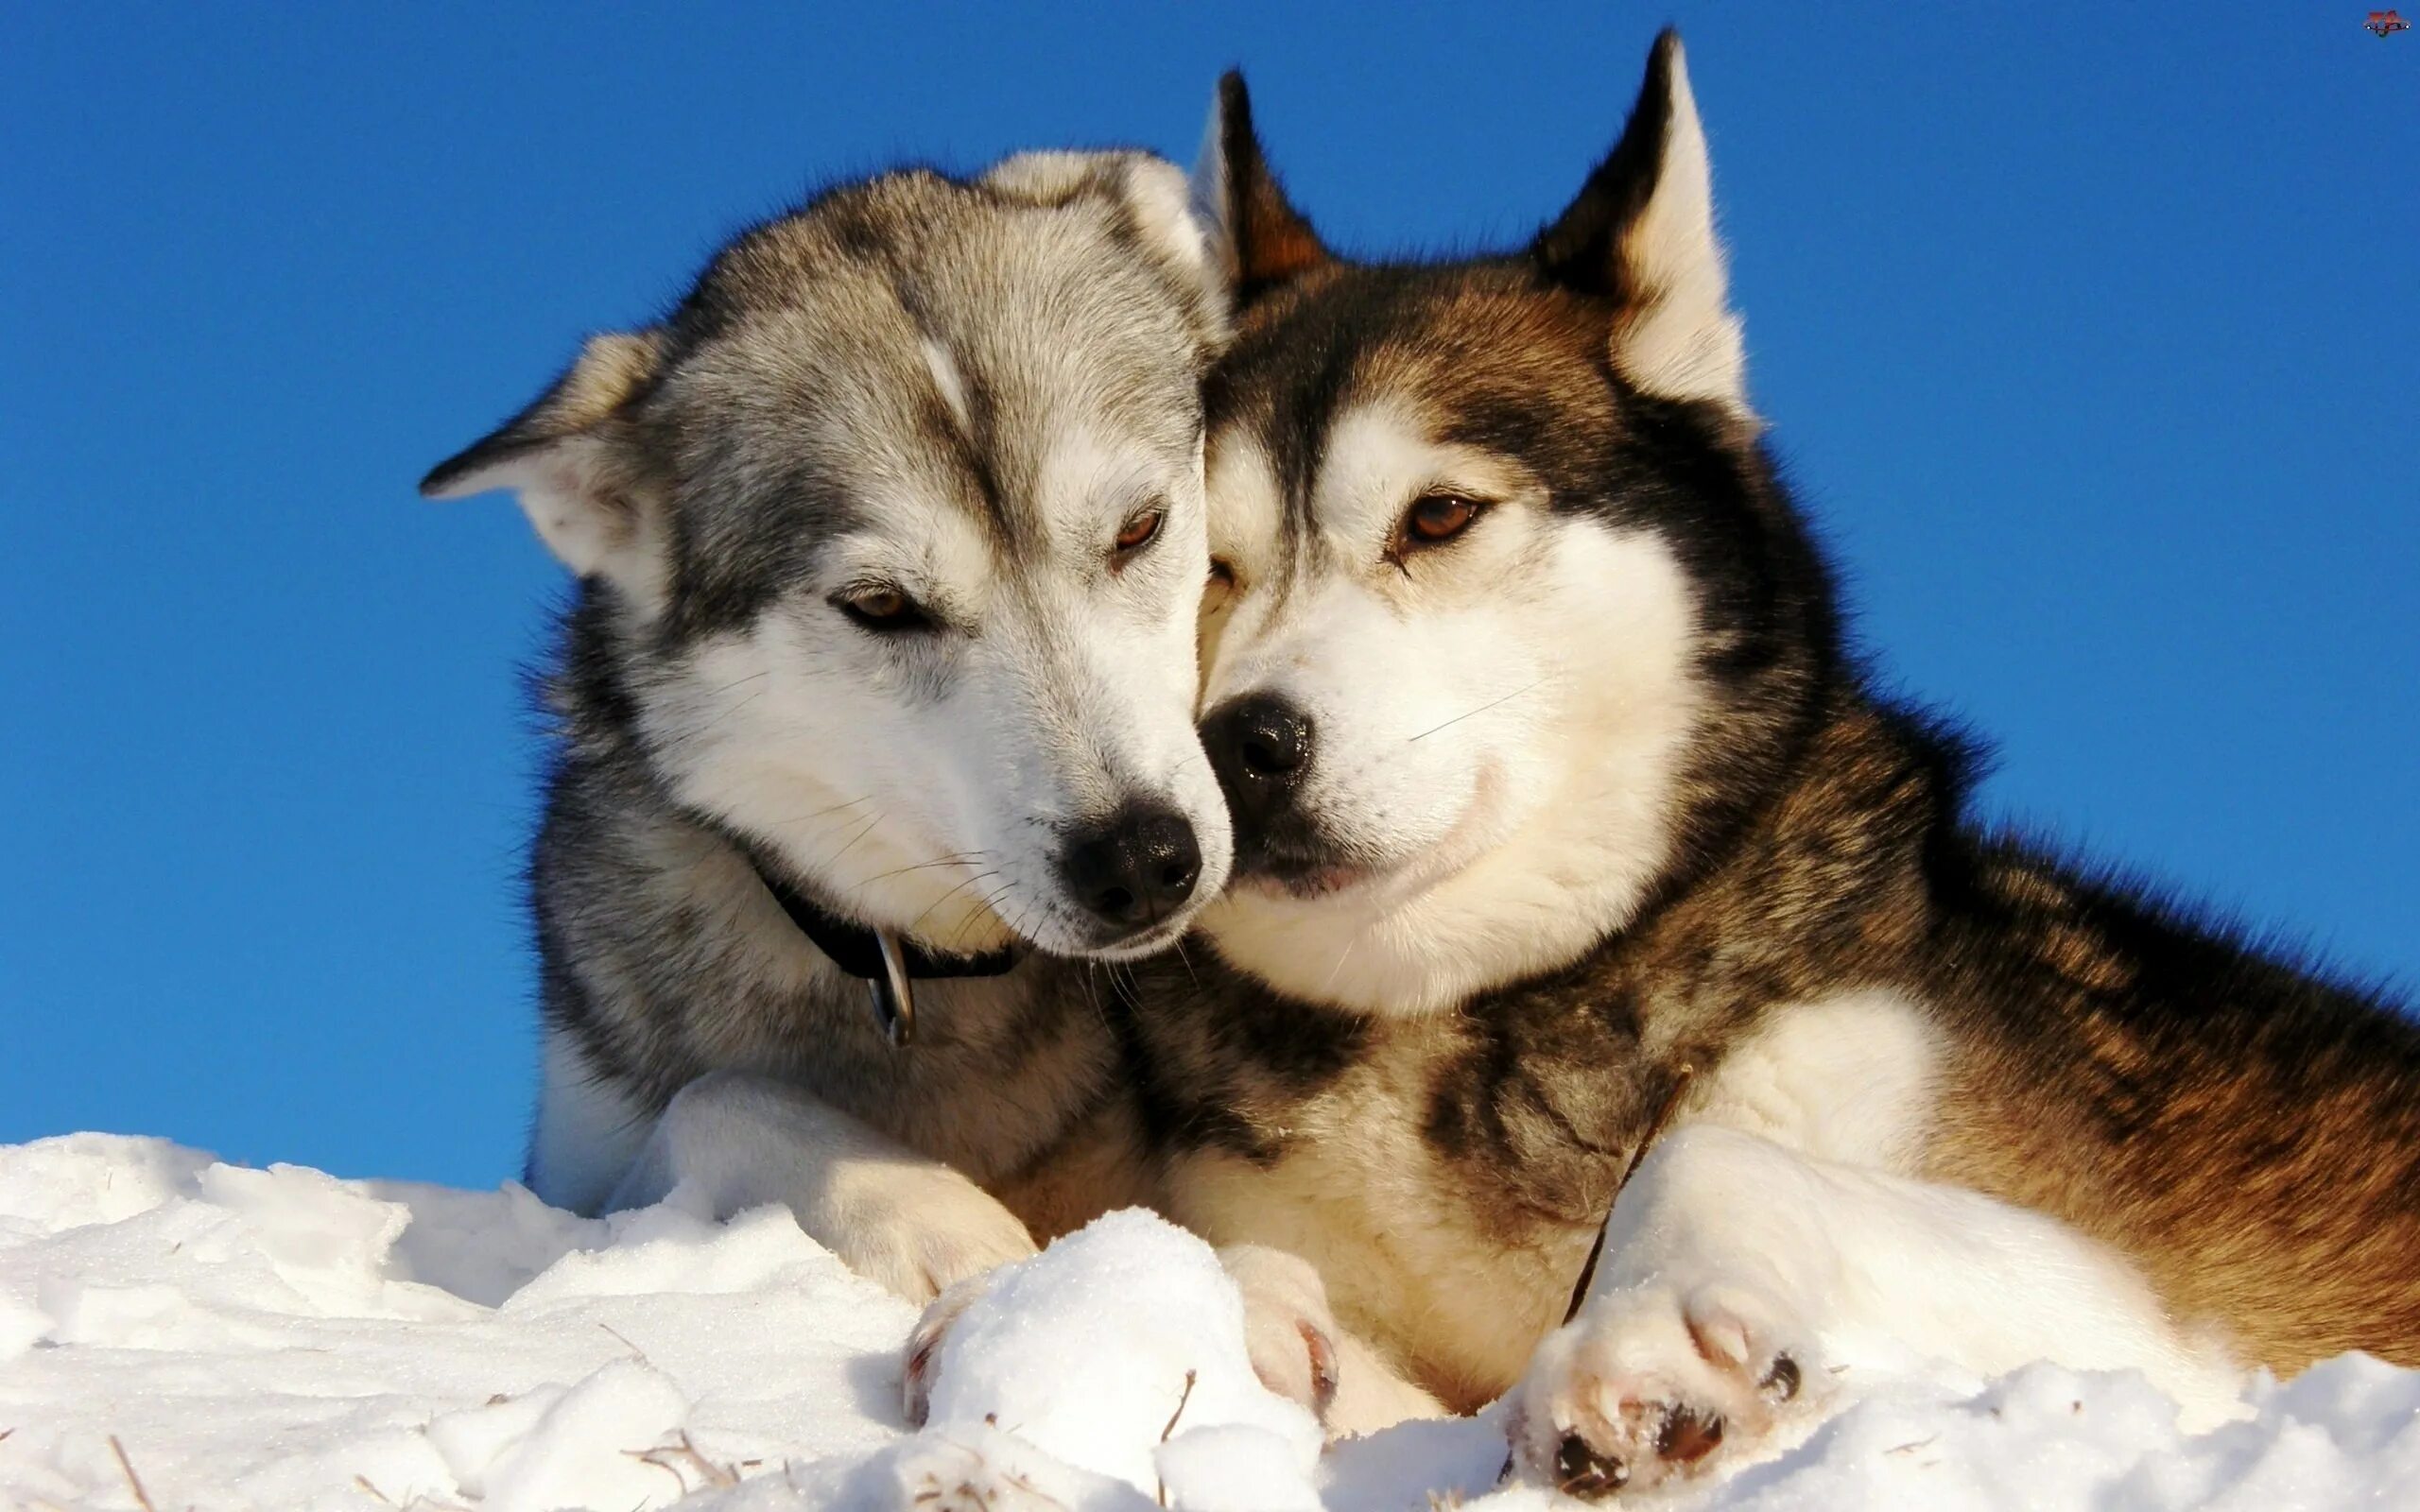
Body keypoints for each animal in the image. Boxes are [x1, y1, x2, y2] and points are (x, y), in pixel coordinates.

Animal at [418, 150, 1238, 1297]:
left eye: (1139, 529)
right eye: (881, 605)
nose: (1140, 859)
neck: (929, 976)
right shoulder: (575, 1169)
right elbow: (716, 1097)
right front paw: (932, 1217)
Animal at [1103, 35, 2420, 1500]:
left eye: (1437, 517)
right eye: (1197, 560)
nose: (1240, 743)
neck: (1481, 1013)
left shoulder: (2159, 1326)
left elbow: (1707, 1146)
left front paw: (1643, 1340)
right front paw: (1269, 1327)